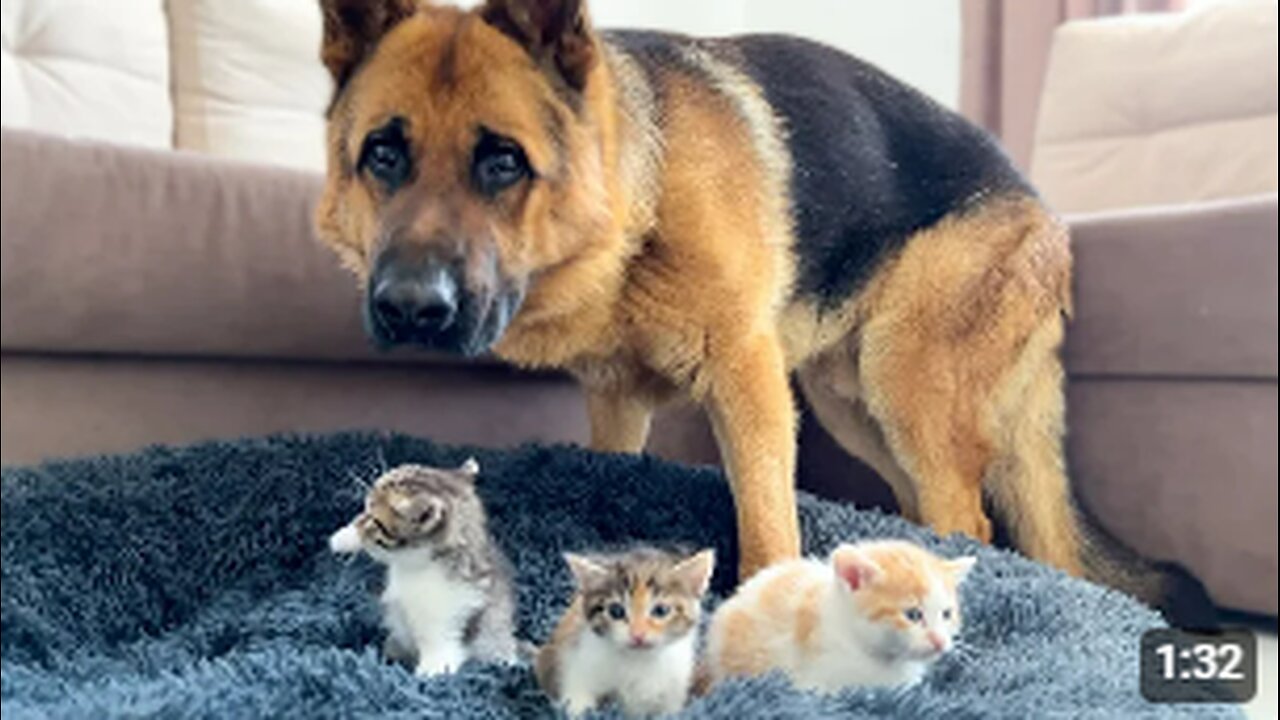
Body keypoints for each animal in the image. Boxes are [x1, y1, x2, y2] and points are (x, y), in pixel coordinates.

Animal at [317, 0, 1208, 622]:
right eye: (383, 156)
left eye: (502, 162)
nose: (409, 309)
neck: (641, 201)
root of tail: (1040, 206)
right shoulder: (617, 402)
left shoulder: (747, 383)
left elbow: (768, 526)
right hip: (857, 407)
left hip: (905, 388)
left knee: (973, 524)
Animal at [327, 458, 517, 671]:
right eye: (367, 507)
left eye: (376, 520)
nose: (368, 496)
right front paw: (342, 538)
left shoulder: (451, 613)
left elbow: (440, 644)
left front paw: (431, 671)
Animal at [532, 545, 716, 712]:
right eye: (616, 611)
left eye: (661, 610)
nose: (638, 635)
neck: (639, 661)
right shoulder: (576, 661)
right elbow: (577, 697)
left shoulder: (674, 687)